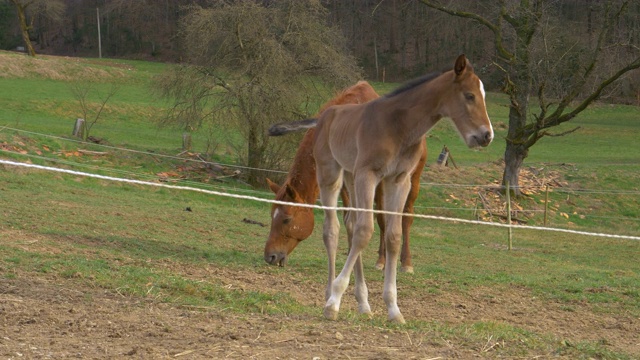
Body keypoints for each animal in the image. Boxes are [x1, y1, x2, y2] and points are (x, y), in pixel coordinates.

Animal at [262, 80, 428, 274]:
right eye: (272, 215)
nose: (270, 256)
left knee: (405, 217)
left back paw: (404, 263)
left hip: (410, 178)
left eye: (287, 219)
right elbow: (350, 219)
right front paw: (353, 258)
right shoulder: (343, 183)